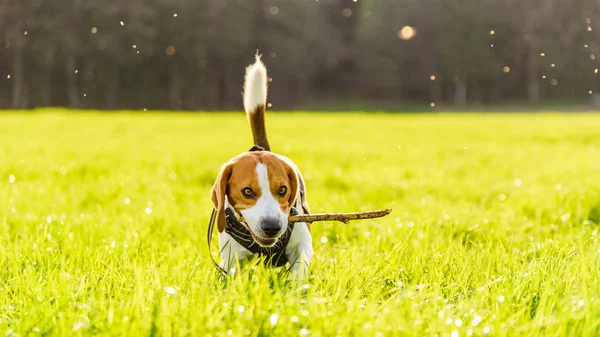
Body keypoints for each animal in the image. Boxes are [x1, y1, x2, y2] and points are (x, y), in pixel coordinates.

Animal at [210, 55, 314, 280]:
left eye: (283, 190)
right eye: (247, 192)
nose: (272, 227)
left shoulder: (303, 245)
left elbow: (298, 272)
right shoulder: (230, 258)